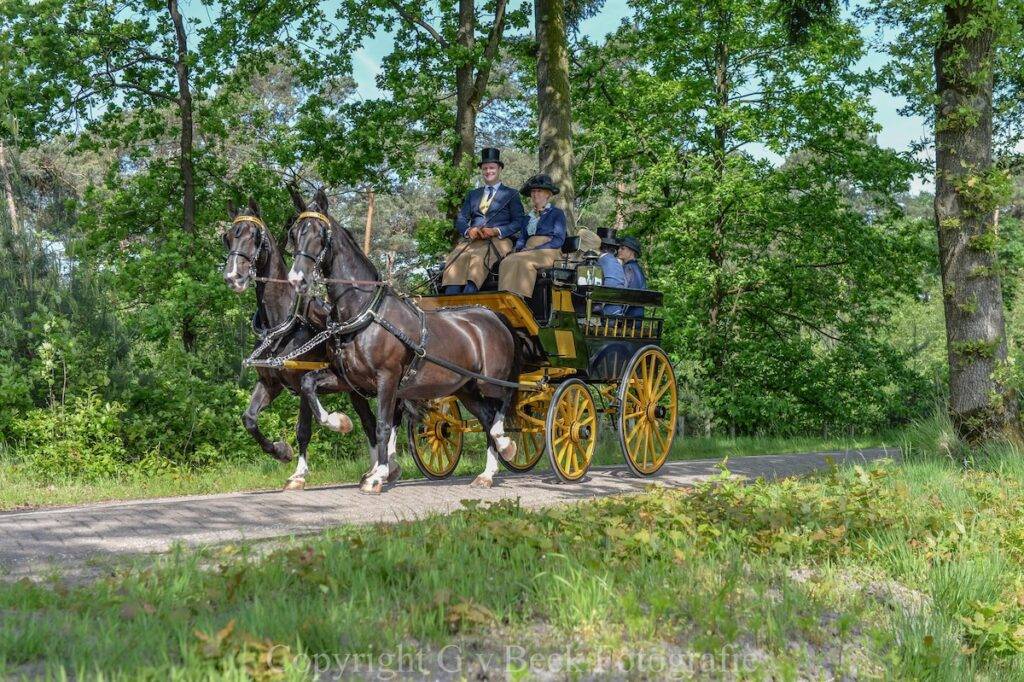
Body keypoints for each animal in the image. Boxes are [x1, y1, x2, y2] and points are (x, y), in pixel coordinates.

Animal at [286, 188, 520, 491]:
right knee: (486, 416)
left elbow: (383, 425)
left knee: (504, 403)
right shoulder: (349, 380)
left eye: (319, 234)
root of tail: (493, 315)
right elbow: (308, 383)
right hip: (466, 388)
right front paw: (340, 423)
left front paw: (378, 475)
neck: (365, 311)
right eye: (294, 233)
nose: (296, 279)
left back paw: (505, 443)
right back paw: (487, 473)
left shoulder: (387, 378)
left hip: (490, 380)